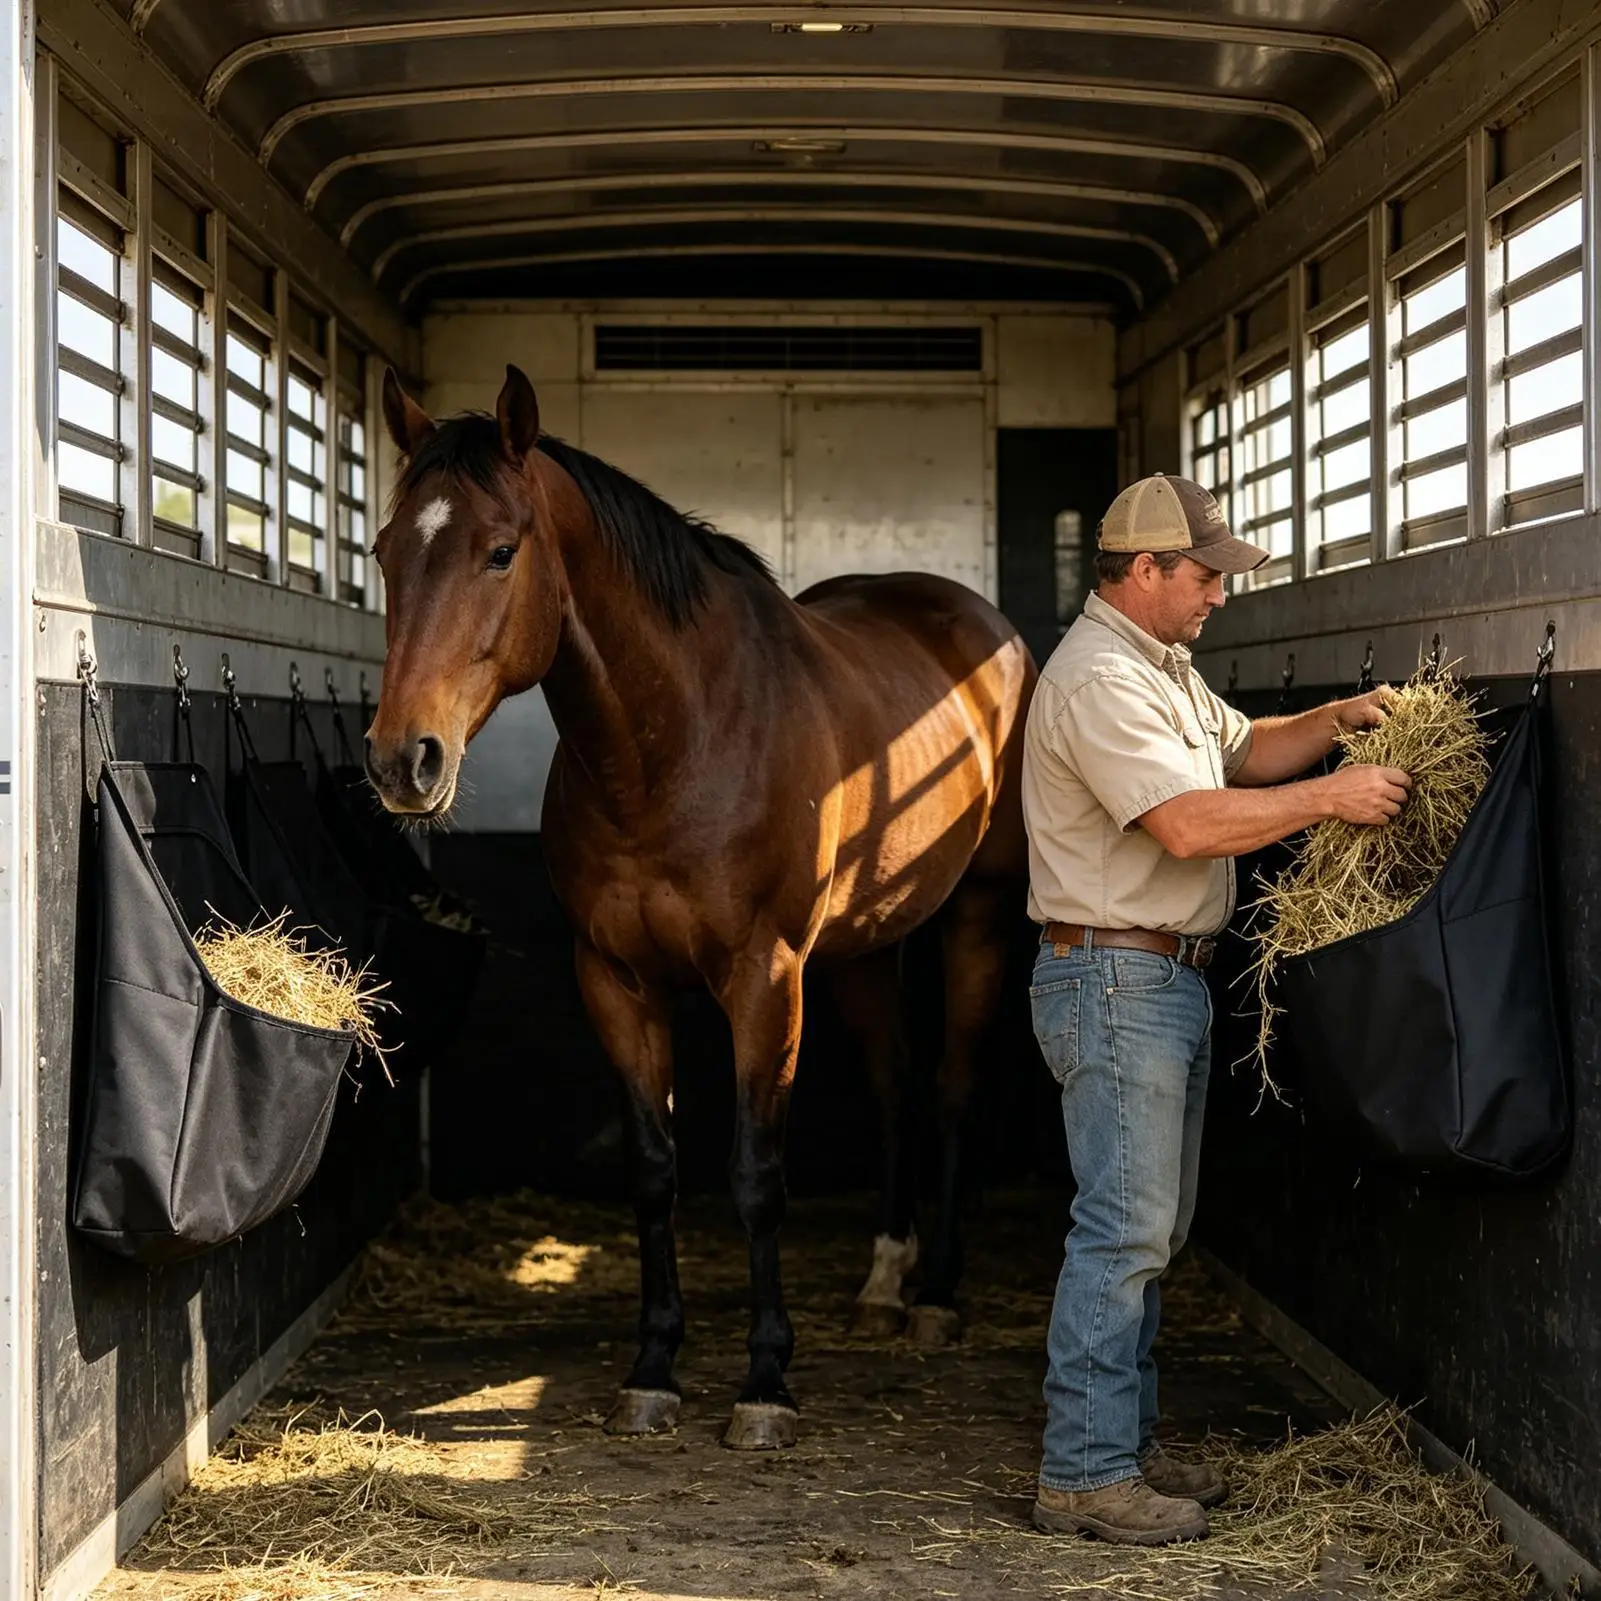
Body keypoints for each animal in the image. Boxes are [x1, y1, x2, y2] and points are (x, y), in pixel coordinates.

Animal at [365, 364, 1036, 1450]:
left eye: (501, 550)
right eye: (386, 550)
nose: (401, 759)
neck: (674, 741)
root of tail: (985, 628)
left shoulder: (763, 980)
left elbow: (755, 1173)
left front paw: (765, 1382)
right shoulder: (617, 979)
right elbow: (653, 1168)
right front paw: (653, 1368)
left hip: (977, 914)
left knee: (947, 1088)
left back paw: (935, 1294)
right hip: (858, 948)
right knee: (894, 1085)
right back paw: (882, 1284)